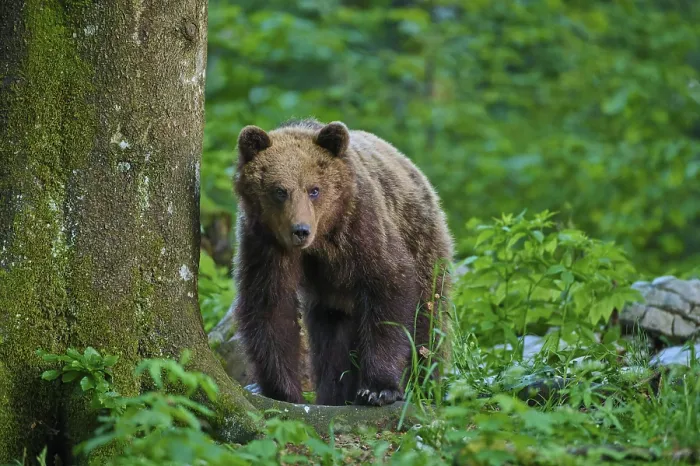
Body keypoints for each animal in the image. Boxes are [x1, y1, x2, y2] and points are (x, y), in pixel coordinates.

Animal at [232, 118, 453, 406]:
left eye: (314, 190)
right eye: (280, 191)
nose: (300, 230)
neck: (321, 239)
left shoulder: (360, 227)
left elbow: (389, 287)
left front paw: (378, 388)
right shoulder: (264, 244)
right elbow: (269, 305)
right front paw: (282, 391)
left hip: (422, 239)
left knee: (427, 320)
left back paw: (423, 385)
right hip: (332, 298)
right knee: (331, 342)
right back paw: (334, 394)